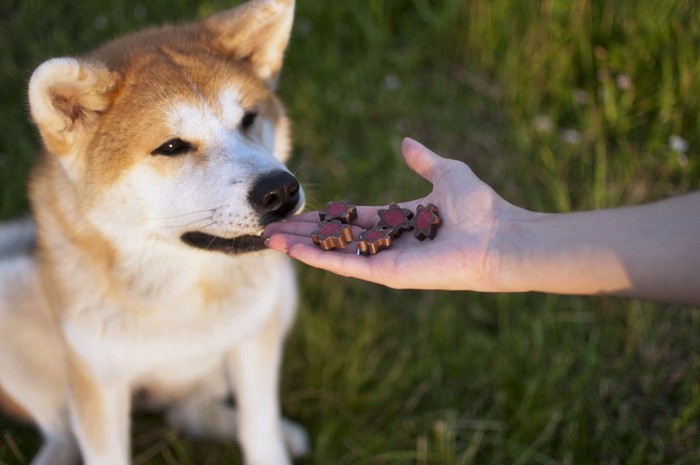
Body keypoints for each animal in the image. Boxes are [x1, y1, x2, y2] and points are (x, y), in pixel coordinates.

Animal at [0, 0, 308, 464]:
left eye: (249, 119)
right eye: (172, 147)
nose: (281, 191)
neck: (178, 287)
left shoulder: (253, 339)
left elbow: (259, 429)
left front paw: (271, 438)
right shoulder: (97, 381)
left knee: (193, 411)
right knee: (61, 433)